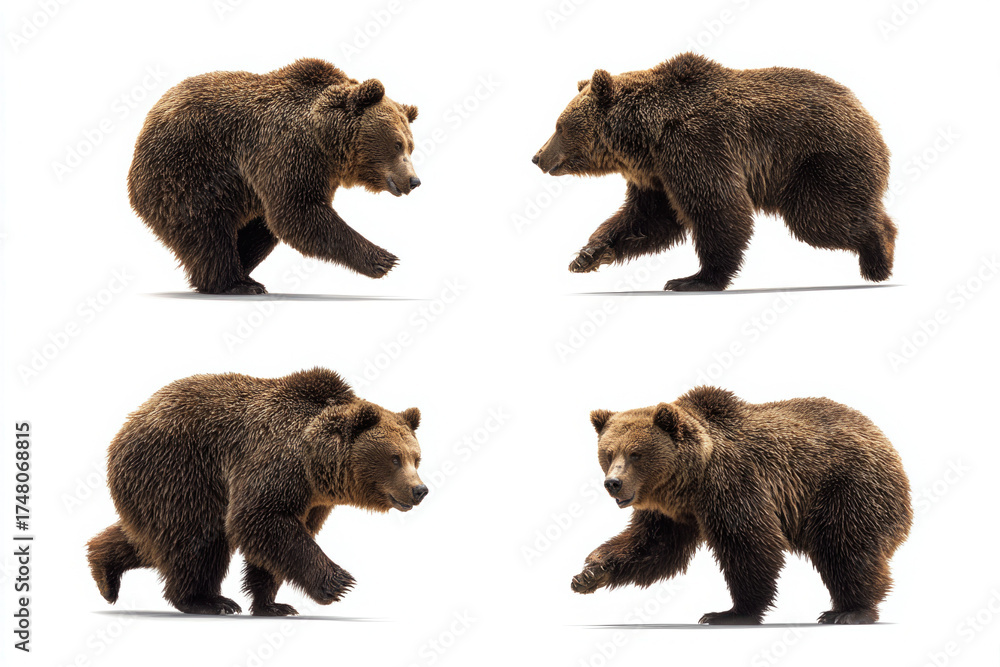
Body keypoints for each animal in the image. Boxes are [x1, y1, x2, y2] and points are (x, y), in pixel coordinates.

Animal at [86, 367, 427, 616]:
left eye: (416, 457)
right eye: (394, 458)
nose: (419, 489)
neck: (315, 464)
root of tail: (130, 422)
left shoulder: (312, 500)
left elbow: (275, 542)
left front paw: (273, 605)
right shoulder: (275, 463)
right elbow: (259, 520)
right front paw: (339, 582)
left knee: (149, 536)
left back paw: (104, 573)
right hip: (180, 469)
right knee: (197, 535)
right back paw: (207, 601)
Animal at [127, 58, 421, 295]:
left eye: (410, 145)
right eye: (397, 144)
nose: (414, 181)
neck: (325, 142)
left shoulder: (318, 171)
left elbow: (289, 216)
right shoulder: (286, 150)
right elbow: (296, 212)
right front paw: (384, 258)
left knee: (258, 228)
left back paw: (243, 274)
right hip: (187, 169)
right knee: (206, 229)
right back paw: (234, 283)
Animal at [532, 52, 897, 291]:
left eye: (560, 126)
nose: (536, 156)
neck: (646, 138)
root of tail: (866, 113)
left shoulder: (697, 145)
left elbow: (718, 208)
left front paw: (693, 279)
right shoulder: (657, 175)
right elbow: (649, 217)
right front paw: (588, 255)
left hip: (819, 160)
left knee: (820, 216)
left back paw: (879, 256)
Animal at [571, 387, 911, 624]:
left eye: (636, 453)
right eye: (608, 453)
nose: (613, 483)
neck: (690, 481)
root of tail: (886, 440)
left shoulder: (733, 485)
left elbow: (750, 544)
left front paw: (730, 613)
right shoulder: (669, 512)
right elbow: (652, 545)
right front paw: (590, 573)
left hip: (847, 489)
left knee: (845, 548)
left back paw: (849, 611)